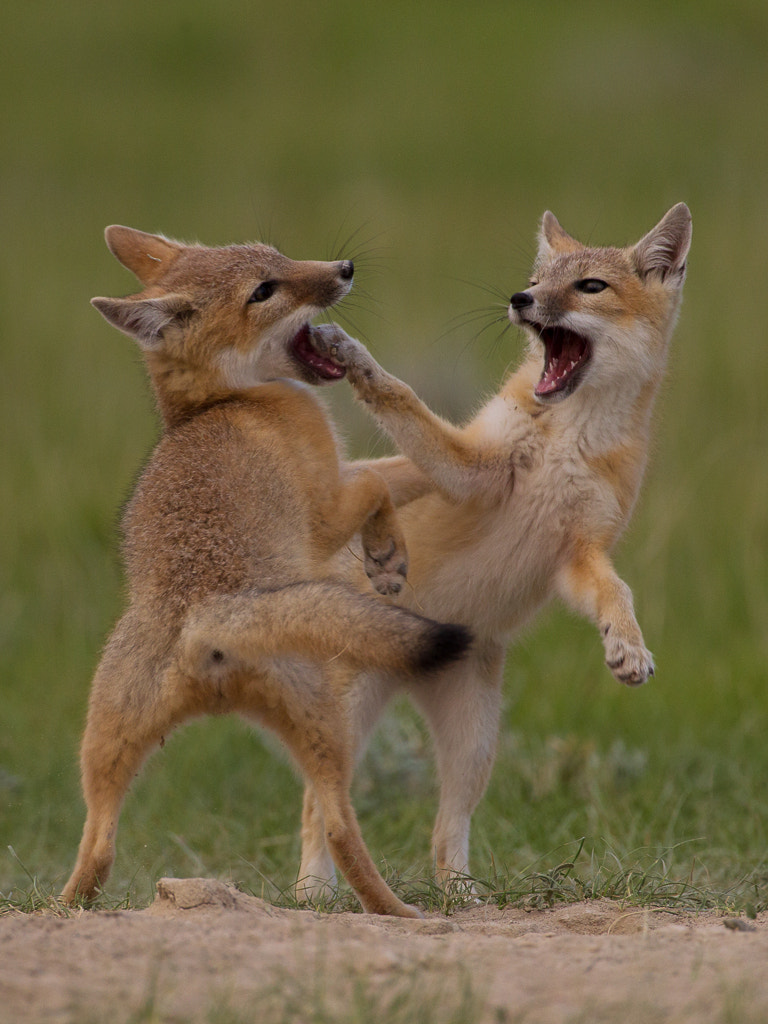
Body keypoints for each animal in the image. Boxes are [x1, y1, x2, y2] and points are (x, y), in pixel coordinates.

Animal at [61, 226, 468, 921]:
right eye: (264, 291)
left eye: (276, 255)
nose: (345, 267)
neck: (227, 403)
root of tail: (203, 617)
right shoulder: (326, 511)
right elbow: (383, 484)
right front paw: (387, 556)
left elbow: (401, 469)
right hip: (332, 728)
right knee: (337, 830)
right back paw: (402, 912)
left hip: (105, 750)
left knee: (98, 850)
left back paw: (61, 907)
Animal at [299, 203, 692, 892]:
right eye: (535, 279)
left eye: (590, 286)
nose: (519, 300)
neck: (568, 436)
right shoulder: (471, 472)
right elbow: (403, 399)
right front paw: (355, 360)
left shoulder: (578, 554)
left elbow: (617, 591)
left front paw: (627, 647)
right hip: (349, 721)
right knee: (316, 813)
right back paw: (312, 894)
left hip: (476, 744)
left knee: (442, 834)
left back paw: (462, 896)